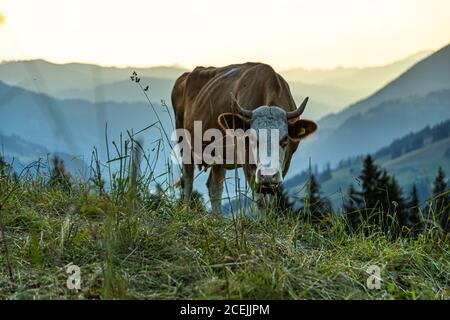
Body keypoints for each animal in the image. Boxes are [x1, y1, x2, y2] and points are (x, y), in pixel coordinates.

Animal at [171, 62, 316, 212]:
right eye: (251, 138)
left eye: (285, 138)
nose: (267, 175)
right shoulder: (247, 161)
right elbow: (261, 201)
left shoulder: (285, 163)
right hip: (184, 143)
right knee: (187, 181)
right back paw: (185, 211)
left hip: (220, 155)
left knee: (214, 187)